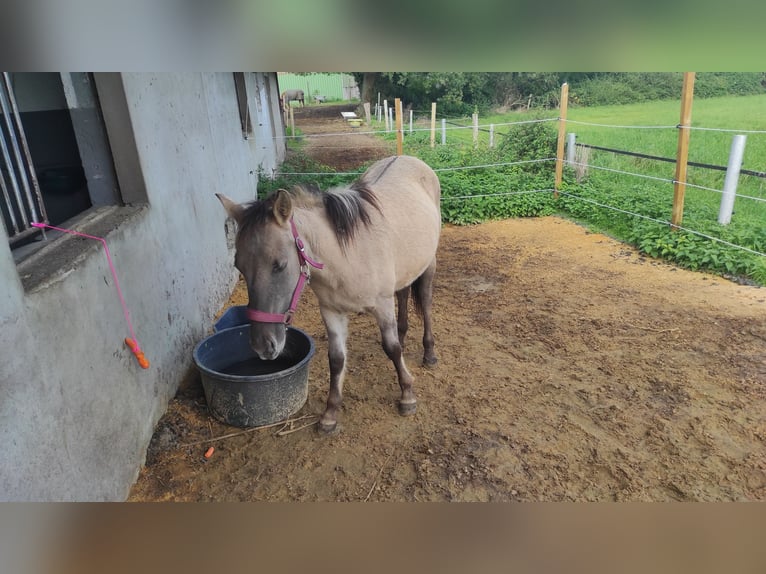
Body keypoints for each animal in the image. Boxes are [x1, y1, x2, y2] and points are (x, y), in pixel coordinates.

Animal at [219, 155, 440, 434]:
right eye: (239, 266)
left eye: (279, 265)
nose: (262, 346)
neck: (347, 255)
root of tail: (407, 158)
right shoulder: (332, 312)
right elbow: (336, 360)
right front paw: (330, 414)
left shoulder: (381, 305)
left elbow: (392, 348)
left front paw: (407, 395)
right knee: (402, 297)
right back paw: (403, 333)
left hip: (429, 264)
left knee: (426, 304)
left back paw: (429, 353)